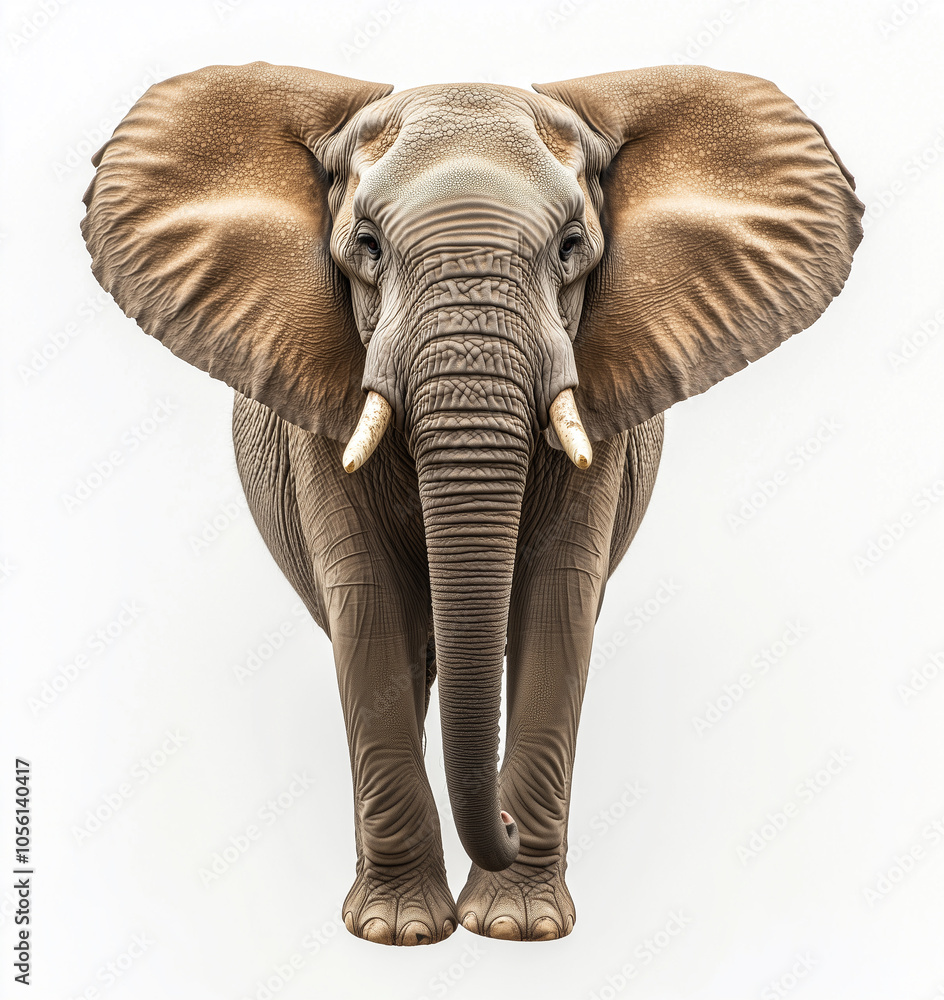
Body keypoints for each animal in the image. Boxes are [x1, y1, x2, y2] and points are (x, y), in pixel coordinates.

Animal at [81, 61, 863, 945]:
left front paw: (517, 929)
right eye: (365, 246)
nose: (509, 825)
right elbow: (368, 606)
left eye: (572, 247)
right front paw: (398, 935)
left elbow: (558, 605)